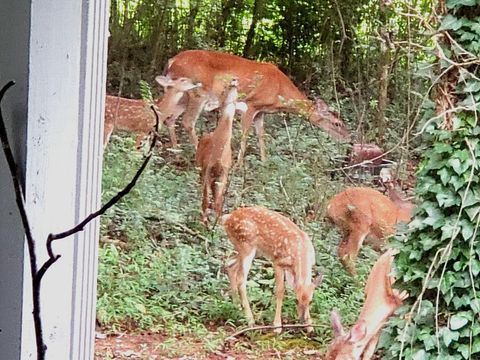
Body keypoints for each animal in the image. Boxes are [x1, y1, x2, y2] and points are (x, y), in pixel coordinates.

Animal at [160, 49, 348, 162]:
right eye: (337, 123)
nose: (348, 138)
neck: (279, 91)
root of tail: (172, 60)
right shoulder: (250, 104)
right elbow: (244, 134)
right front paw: (239, 164)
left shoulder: (261, 112)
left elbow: (261, 135)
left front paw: (264, 162)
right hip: (198, 92)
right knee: (187, 121)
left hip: (181, 95)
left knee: (169, 117)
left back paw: (176, 152)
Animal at [196, 77, 248, 224]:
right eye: (223, 90)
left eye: (238, 94)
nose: (234, 80)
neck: (218, 155)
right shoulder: (207, 168)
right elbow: (205, 198)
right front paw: (204, 221)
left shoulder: (224, 173)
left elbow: (218, 203)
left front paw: (217, 223)